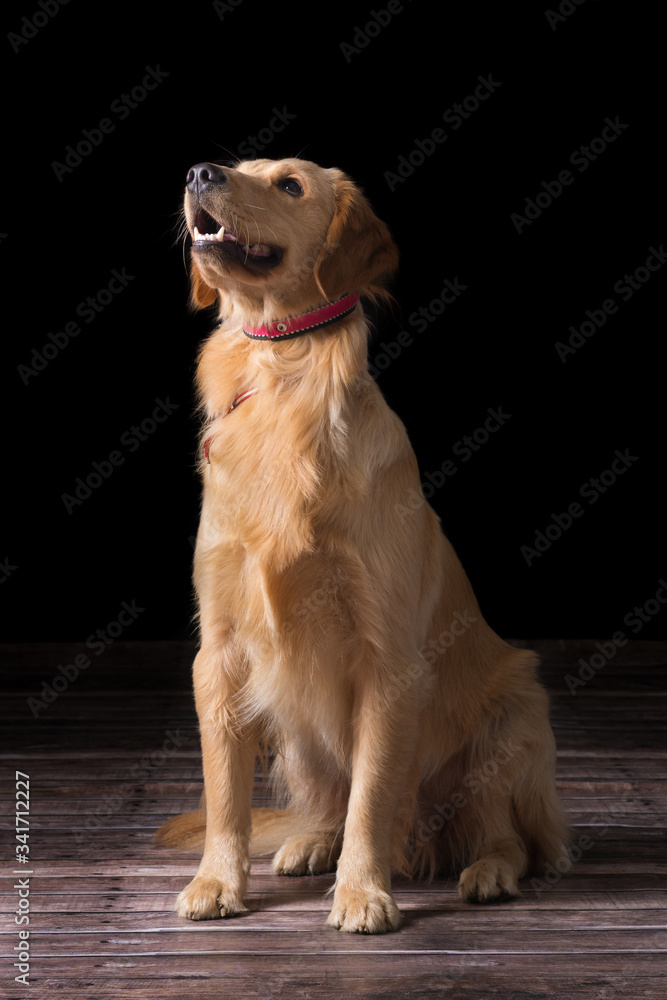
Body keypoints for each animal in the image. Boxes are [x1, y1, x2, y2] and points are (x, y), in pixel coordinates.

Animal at [157, 154, 568, 928]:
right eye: (239, 166)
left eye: (289, 185)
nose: (199, 171)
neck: (282, 375)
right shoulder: (220, 651)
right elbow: (224, 791)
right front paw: (218, 881)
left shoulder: (389, 661)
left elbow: (372, 797)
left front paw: (362, 892)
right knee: (327, 800)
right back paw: (311, 842)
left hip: (512, 714)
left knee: (508, 834)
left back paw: (488, 871)